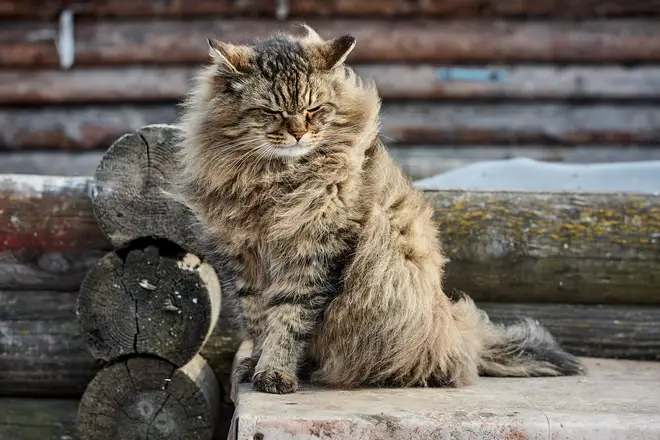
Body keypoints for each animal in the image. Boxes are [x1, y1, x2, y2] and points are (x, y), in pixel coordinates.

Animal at [174, 24, 584, 396]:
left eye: (314, 110)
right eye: (270, 112)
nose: (298, 134)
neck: (275, 178)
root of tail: (457, 332)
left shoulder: (313, 254)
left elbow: (288, 322)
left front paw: (275, 373)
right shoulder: (247, 260)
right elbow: (259, 321)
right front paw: (257, 363)